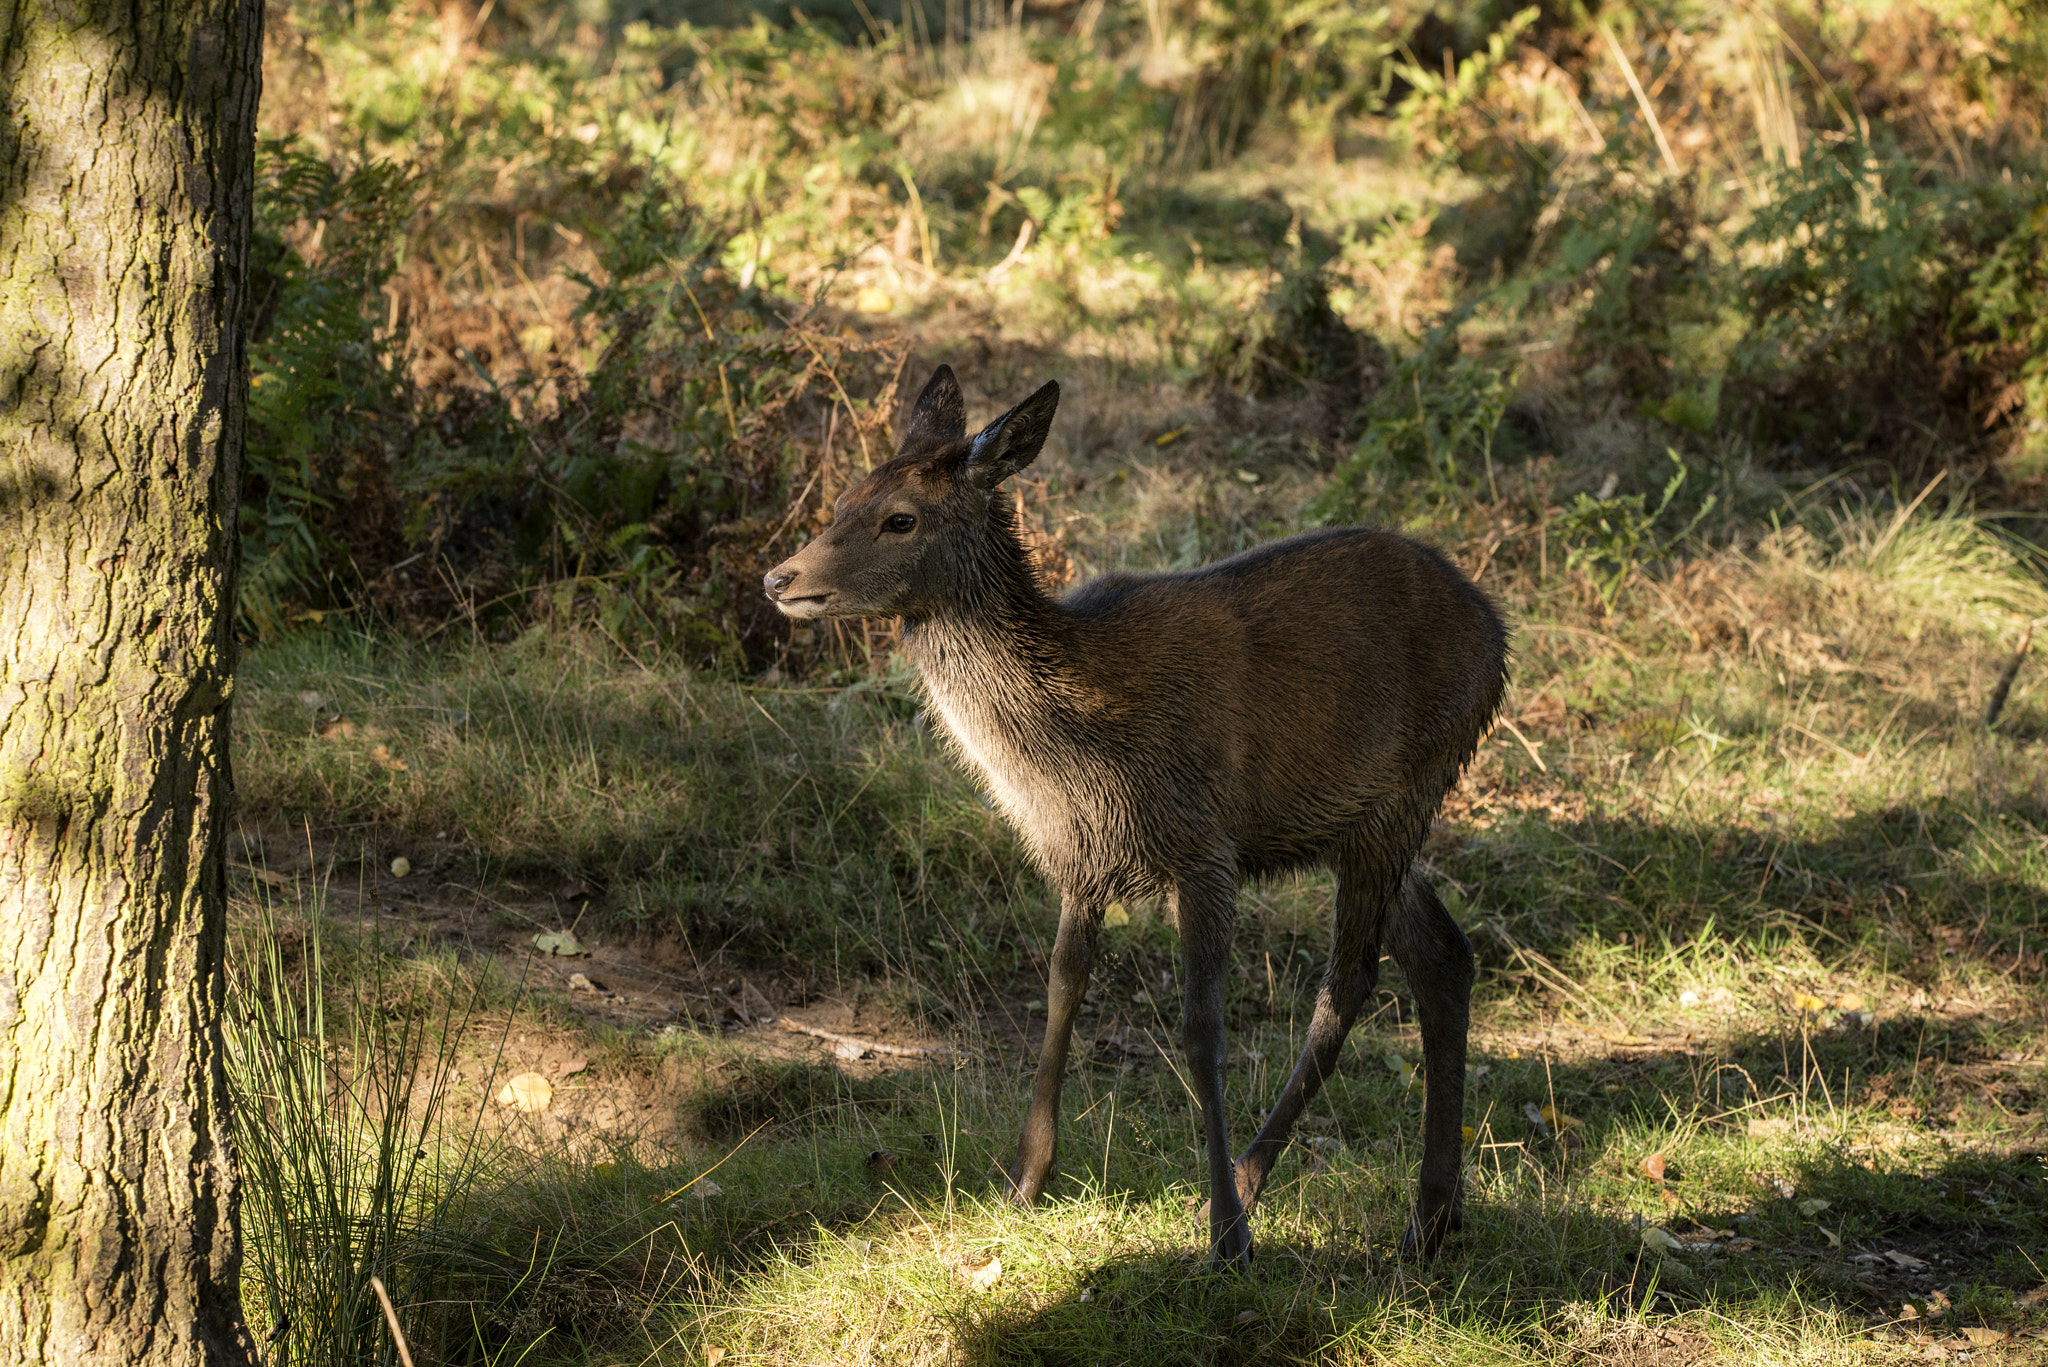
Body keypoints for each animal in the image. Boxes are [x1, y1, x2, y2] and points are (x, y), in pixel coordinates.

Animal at [765, 366, 1507, 1270]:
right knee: (1443, 954)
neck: (1069, 751)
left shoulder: (1204, 844)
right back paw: (1434, 1213)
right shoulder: (1078, 856)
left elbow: (1200, 1027)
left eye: (899, 517)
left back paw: (1259, 1187)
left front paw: (1227, 1235)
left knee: (1350, 983)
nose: (778, 578)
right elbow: (1061, 992)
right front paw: (1023, 1181)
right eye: (842, 497)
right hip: (1358, 818)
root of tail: (1499, 631)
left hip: (1407, 790)